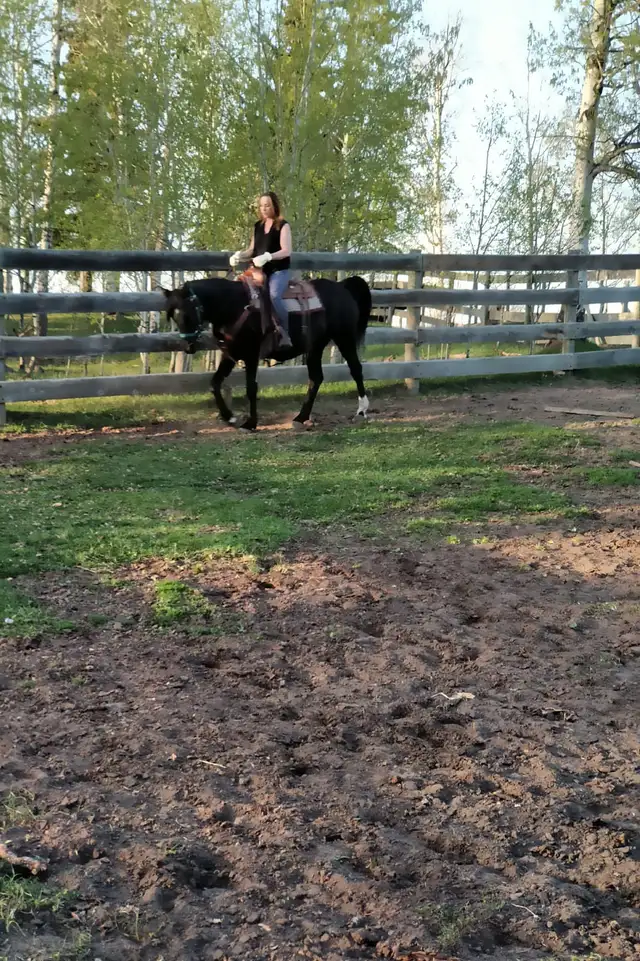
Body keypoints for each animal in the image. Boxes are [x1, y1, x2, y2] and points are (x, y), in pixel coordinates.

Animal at [161, 273, 372, 431]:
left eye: (187, 314)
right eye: (173, 316)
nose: (188, 347)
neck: (234, 305)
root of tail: (342, 287)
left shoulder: (251, 354)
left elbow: (251, 388)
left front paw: (250, 423)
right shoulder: (230, 354)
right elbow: (214, 383)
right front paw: (229, 417)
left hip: (344, 338)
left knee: (356, 369)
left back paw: (361, 411)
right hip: (315, 347)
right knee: (316, 378)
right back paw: (300, 417)